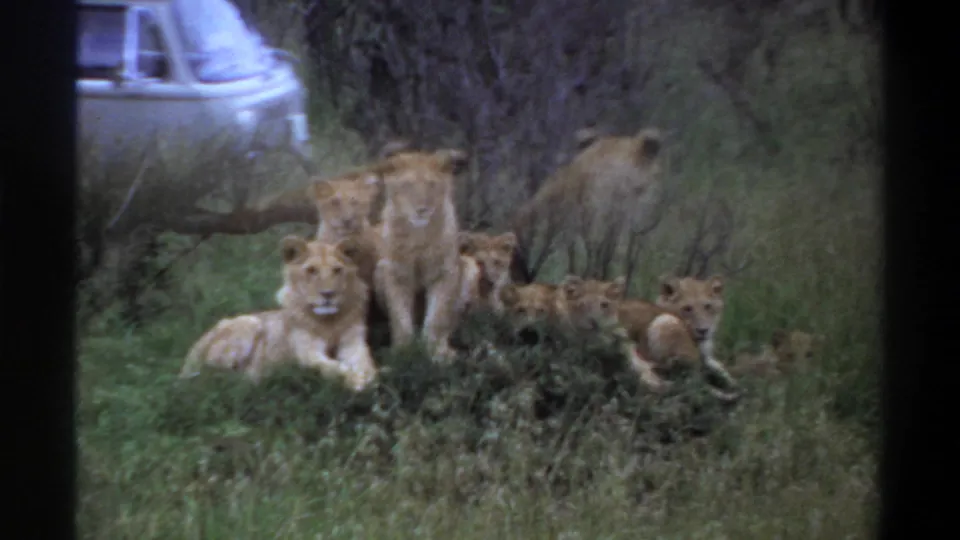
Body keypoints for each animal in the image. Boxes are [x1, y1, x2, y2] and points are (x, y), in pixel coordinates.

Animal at [181, 236, 378, 391]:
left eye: (337, 270)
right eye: (311, 270)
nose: (328, 294)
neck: (329, 322)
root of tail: (191, 353)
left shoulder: (354, 343)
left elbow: (366, 362)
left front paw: (369, 377)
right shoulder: (307, 353)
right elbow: (331, 368)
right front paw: (354, 380)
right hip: (249, 322)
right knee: (212, 378)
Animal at [371, 147, 469, 362]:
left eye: (431, 185)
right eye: (407, 185)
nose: (422, 210)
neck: (418, 237)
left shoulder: (445, 273)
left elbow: (437, 318)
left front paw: (435, 353)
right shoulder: (395, 274)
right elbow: (400, 319)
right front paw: (403, 353)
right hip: (378, 272)